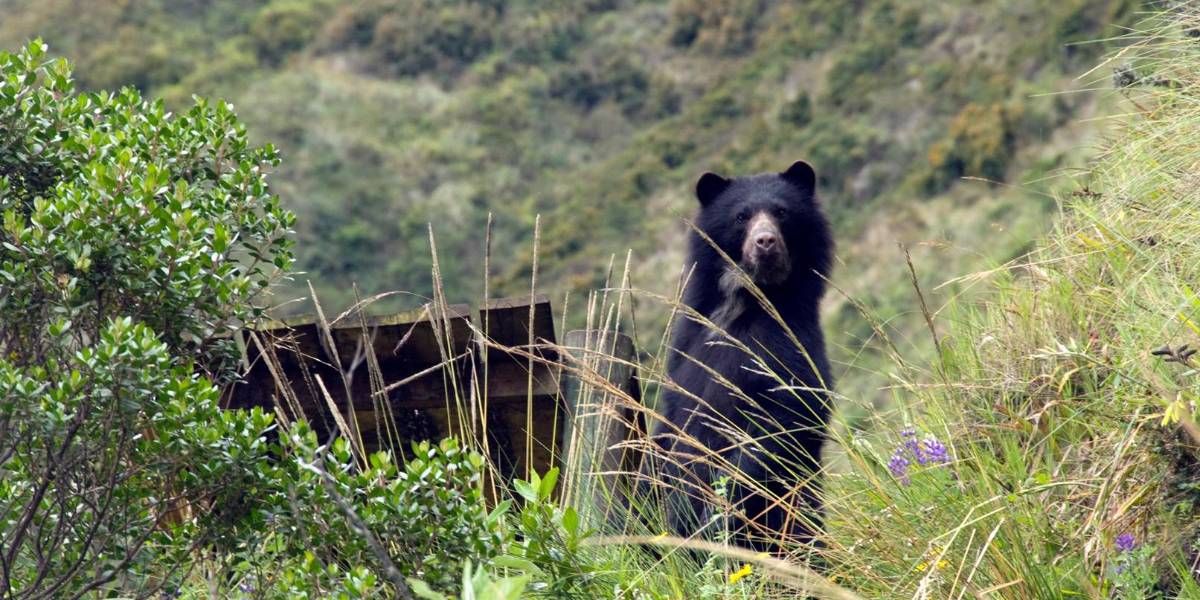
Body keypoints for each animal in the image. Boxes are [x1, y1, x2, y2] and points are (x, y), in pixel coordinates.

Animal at [647, 160, 833, 554]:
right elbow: (671, 416)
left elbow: (788, 418)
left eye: (781, 213)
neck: (745, 300)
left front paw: (717, 516)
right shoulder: (686, 346)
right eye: (741, 217)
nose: (765, 242)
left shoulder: (788, 346)